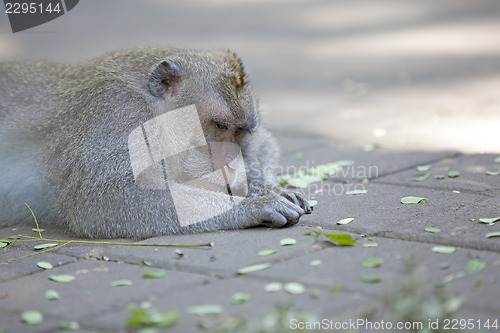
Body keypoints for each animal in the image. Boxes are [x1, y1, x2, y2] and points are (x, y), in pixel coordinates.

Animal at [0, 48, 310, 237]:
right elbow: (104, 200)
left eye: (241, 132)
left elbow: (264, 143)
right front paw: (253, 205)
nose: (231, 165)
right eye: (220, 126)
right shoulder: (118, 113)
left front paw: (263, 187)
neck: (151, 110)